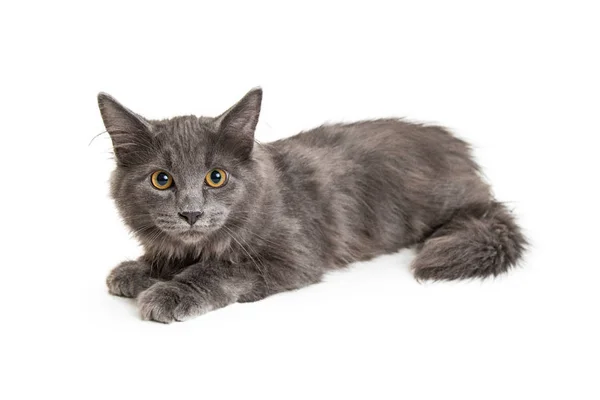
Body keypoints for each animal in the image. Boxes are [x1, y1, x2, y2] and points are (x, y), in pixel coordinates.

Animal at [97, 86, 524, 322]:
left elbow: (221, 269)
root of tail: (459, 150)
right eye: (161, 180)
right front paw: (140, 269)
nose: (191, 213)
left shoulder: (292, 256)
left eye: (216, 177)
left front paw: (171, 292)